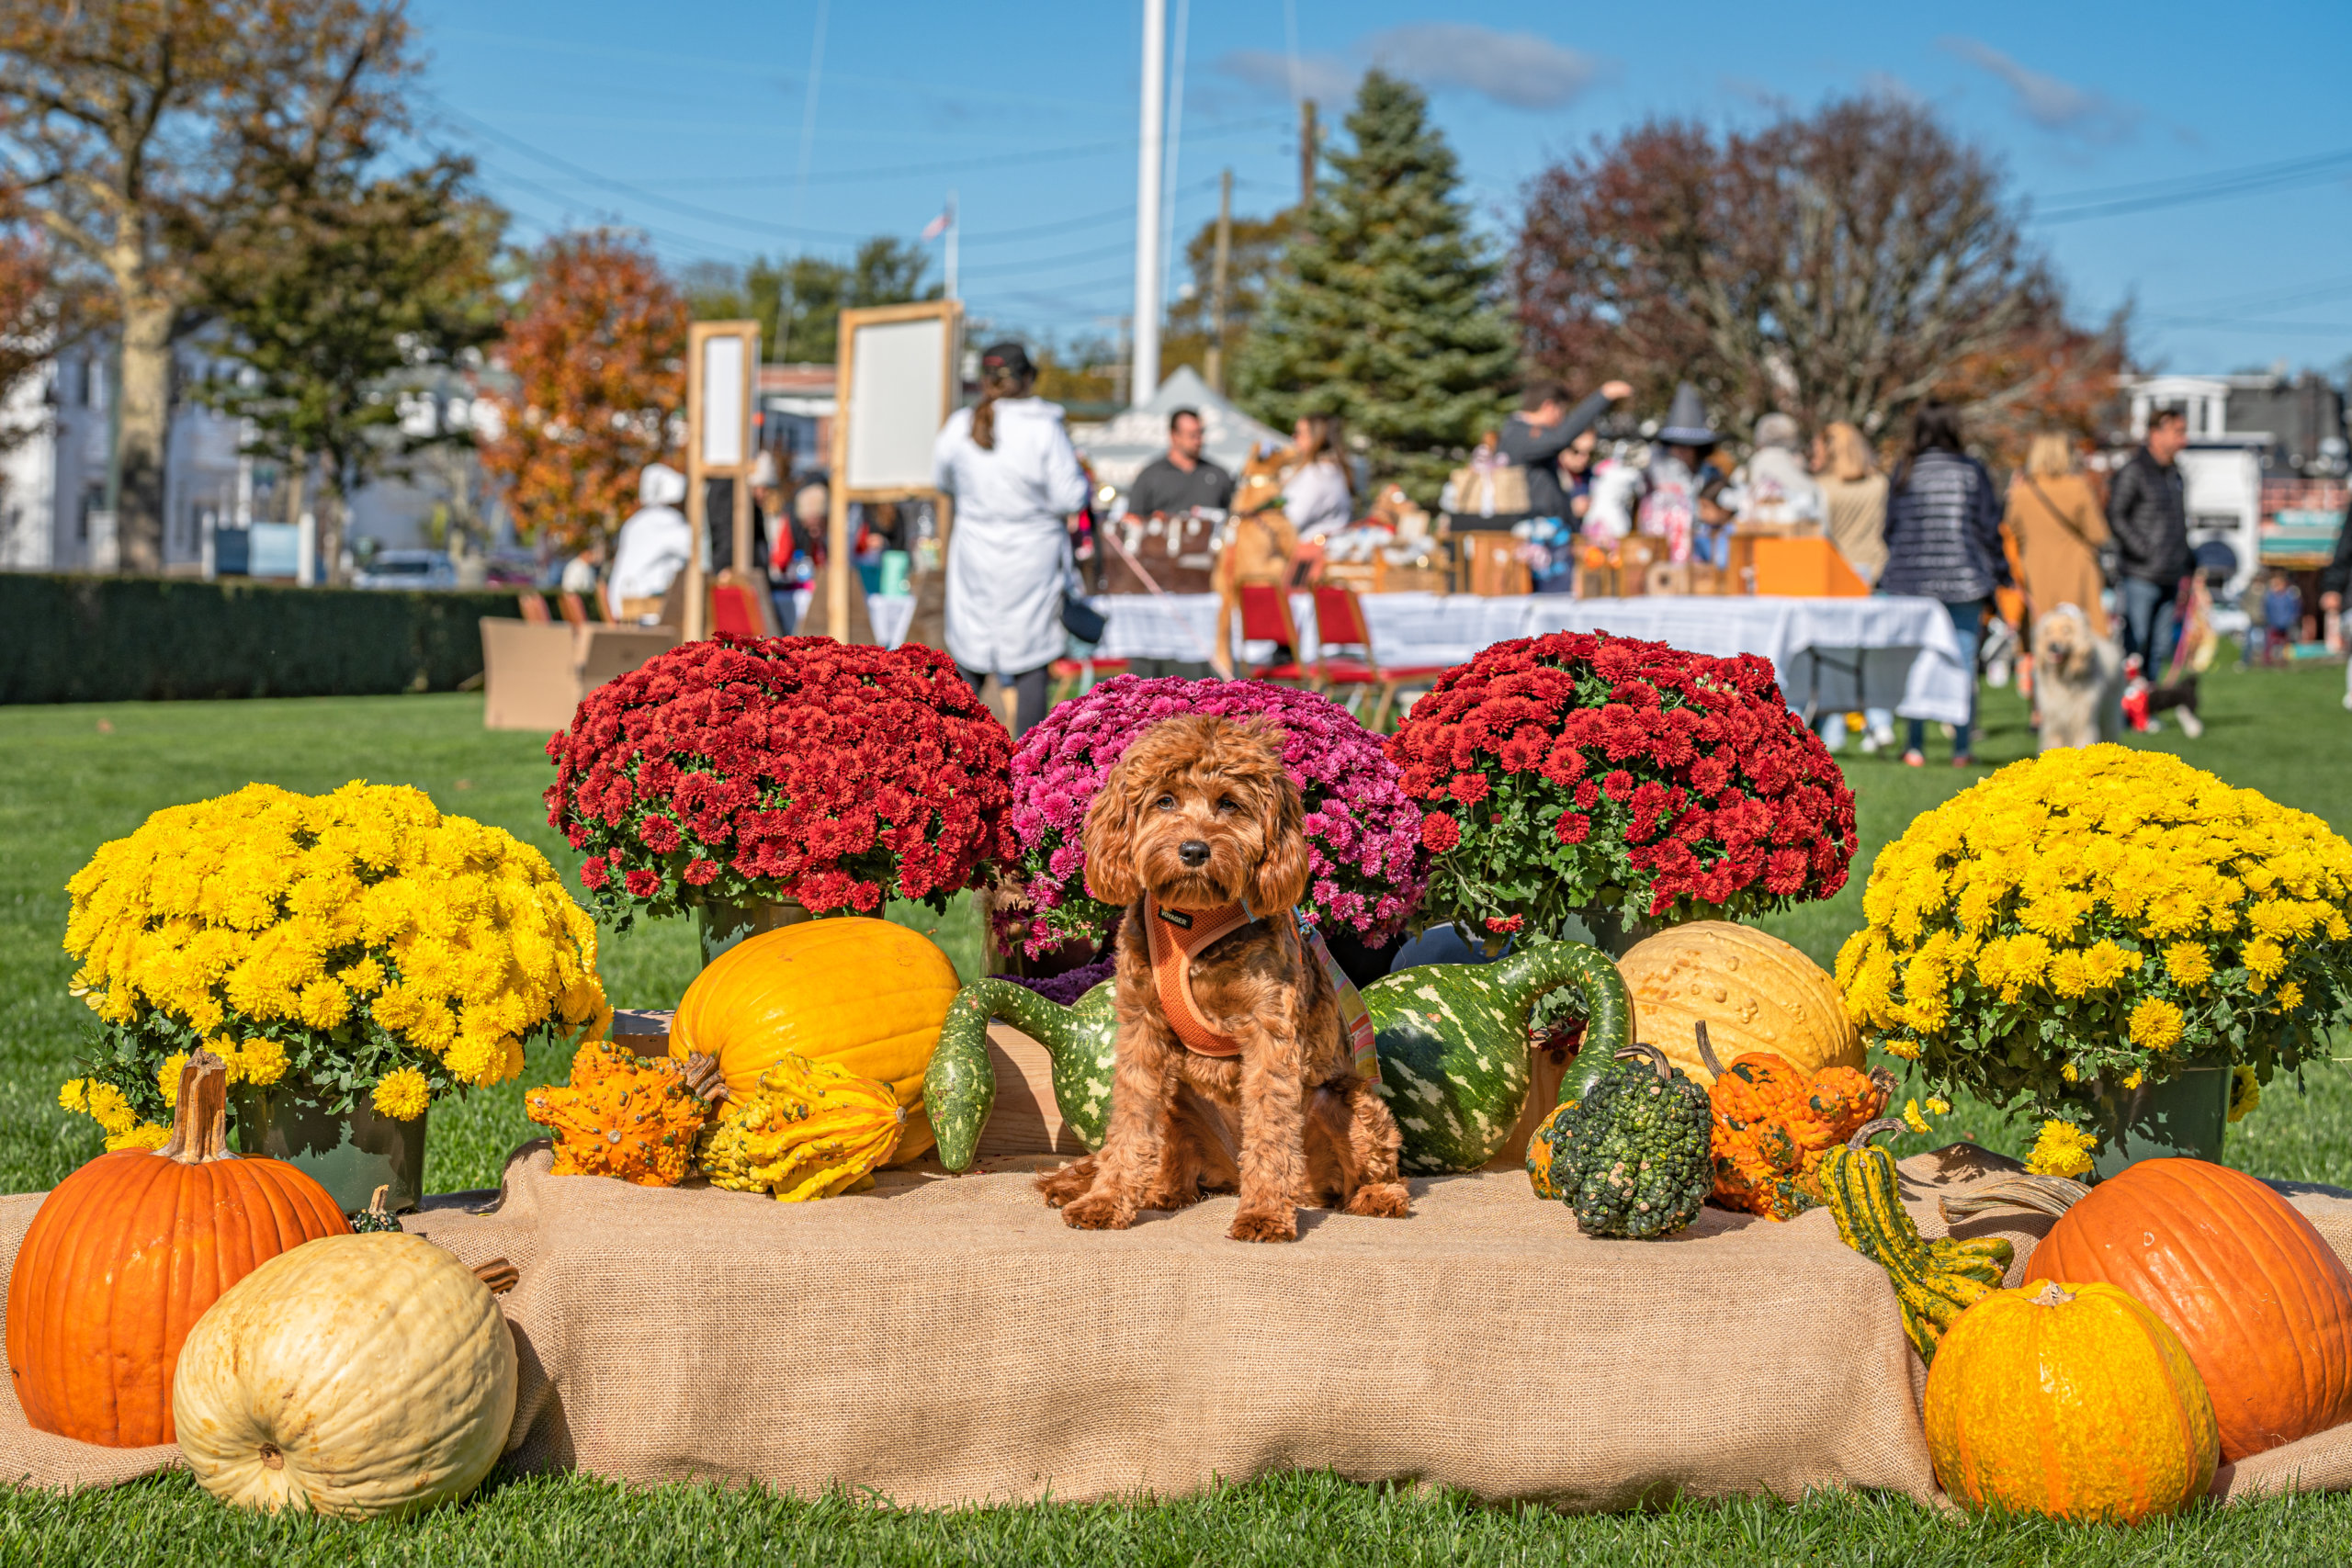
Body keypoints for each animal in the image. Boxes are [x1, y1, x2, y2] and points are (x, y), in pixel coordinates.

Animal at [1035, 709, 1401, 1241]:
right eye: (1164, 800)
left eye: (1229, 803)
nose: (1193, 850)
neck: (1193, 920)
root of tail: (1230, 1172)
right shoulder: (1142, 1027)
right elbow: (1128, 1124)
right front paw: (1104, 1200)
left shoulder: (1271, 1032)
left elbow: (1271, 1130)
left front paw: (1264, 1214)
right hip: (1180, 1103)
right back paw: (1146, 1189)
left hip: (1349, 1101)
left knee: (1373, 1164)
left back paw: (1376, 1197)